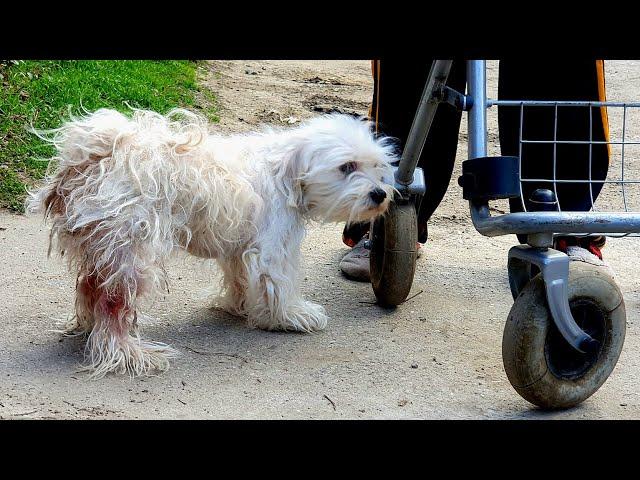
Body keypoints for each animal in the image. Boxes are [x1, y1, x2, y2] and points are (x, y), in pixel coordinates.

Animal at [30, 109, 398, 378]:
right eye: (347, 166)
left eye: (377, 166)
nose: (380, 194)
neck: (286, 172)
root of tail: (97, 153)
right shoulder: (272, 248)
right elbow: (277, 283)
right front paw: (289, 316)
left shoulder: (241, 246)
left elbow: (240, 277)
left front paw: (241, 306)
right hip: (131, 254)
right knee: (113, 307)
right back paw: (128, 353)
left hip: (105, 249)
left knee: (89, 288)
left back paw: (89, 328)